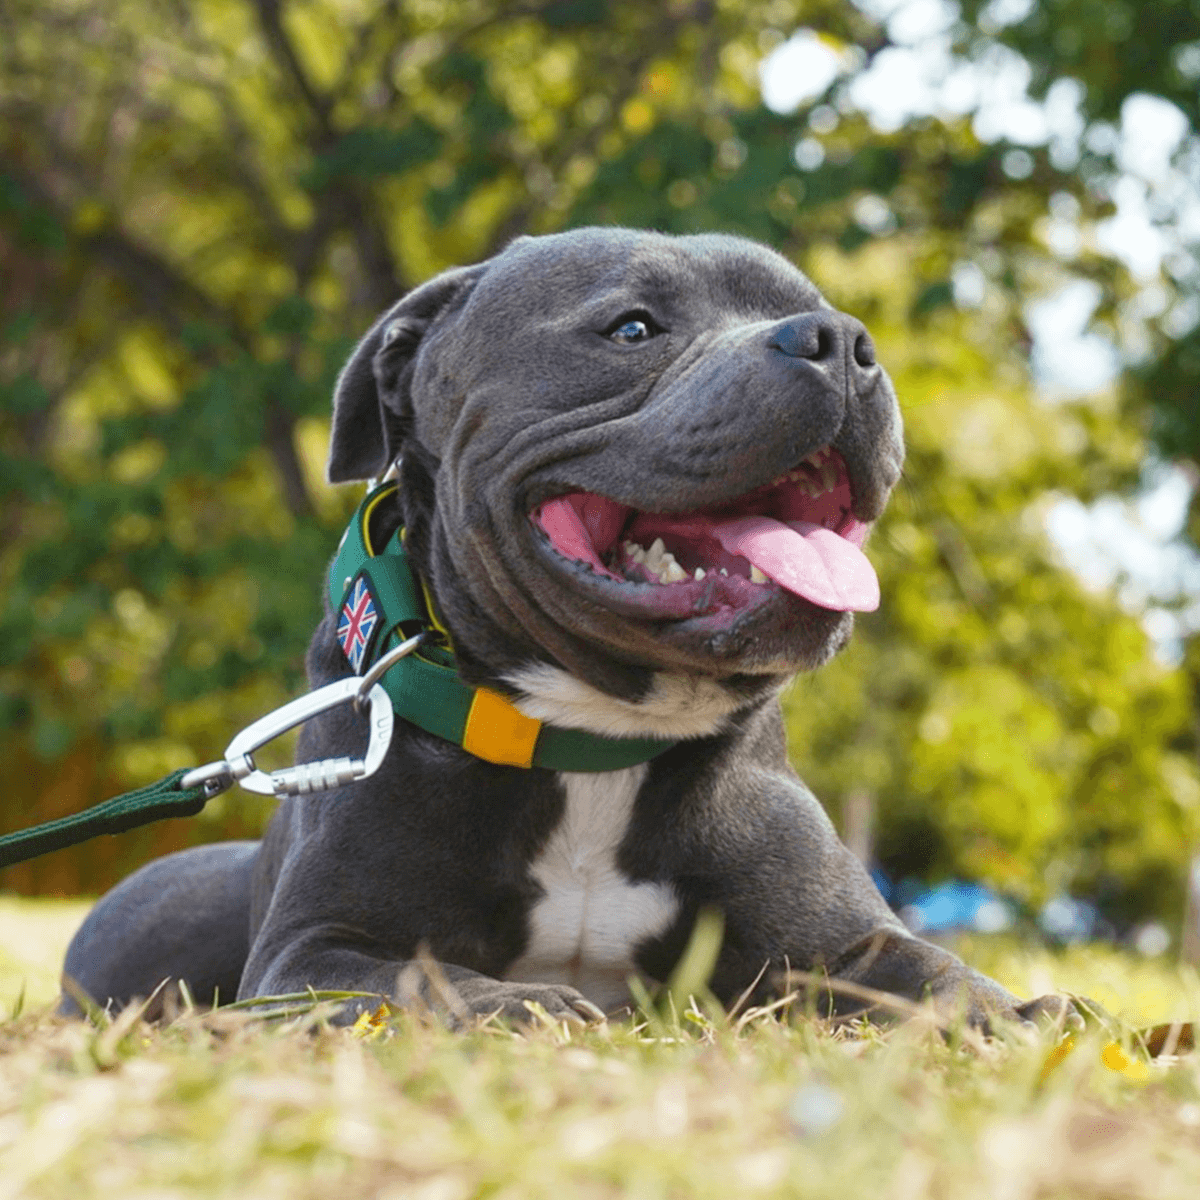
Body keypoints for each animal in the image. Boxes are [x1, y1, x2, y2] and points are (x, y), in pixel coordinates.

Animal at [63, 229, 1060, 1027]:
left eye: (815, 312)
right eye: (632, 329)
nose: (842, 342)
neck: (596, 736)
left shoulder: (842, 944)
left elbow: (936, 972)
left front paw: (1021, 1010)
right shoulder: (316, 949)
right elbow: (422, 977)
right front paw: (518, 1002)